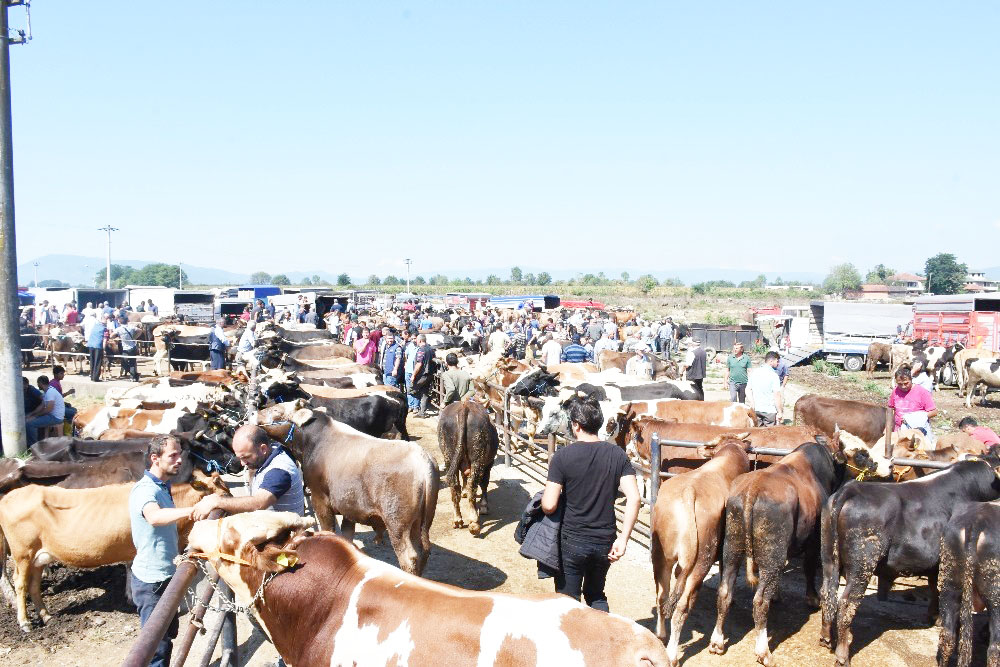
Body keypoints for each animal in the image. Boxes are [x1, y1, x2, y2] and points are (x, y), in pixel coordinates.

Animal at [0, 470, 229, 632]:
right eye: (225, 493)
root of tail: (11, 495)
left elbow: (129, 569)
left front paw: (129, 596)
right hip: (23, 554)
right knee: (20, 583)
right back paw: (25, 622)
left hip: (39, 556)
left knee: (34, 585)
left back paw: (45, 615)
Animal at [254, 400, 438, 576]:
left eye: (277, 410)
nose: (255, 413)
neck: (313, 442)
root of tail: (422, 458)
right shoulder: (350, 506)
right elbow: (347, 535)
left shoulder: (319, 498)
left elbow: (328, 529)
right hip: (421, 523)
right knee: (423, 552)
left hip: (398, 523)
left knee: (409, 557)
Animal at [652, 436, 752, 664]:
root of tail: (689, 492)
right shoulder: (731, 553)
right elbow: (725, 592)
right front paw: (717, 642)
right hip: (701, 563)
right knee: (681, 607)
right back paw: (672, 654)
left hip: (660, 556)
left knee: (662, 595)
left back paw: (661, 635)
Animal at [820, 456, 1000, 664]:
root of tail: (851, 489)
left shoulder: (938, 565)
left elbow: (934, 588)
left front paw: (934, 615)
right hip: (862, 565)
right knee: (846, 604)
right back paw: (842, 656)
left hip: (828, 558)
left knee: (827, 592)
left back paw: (826, 638)